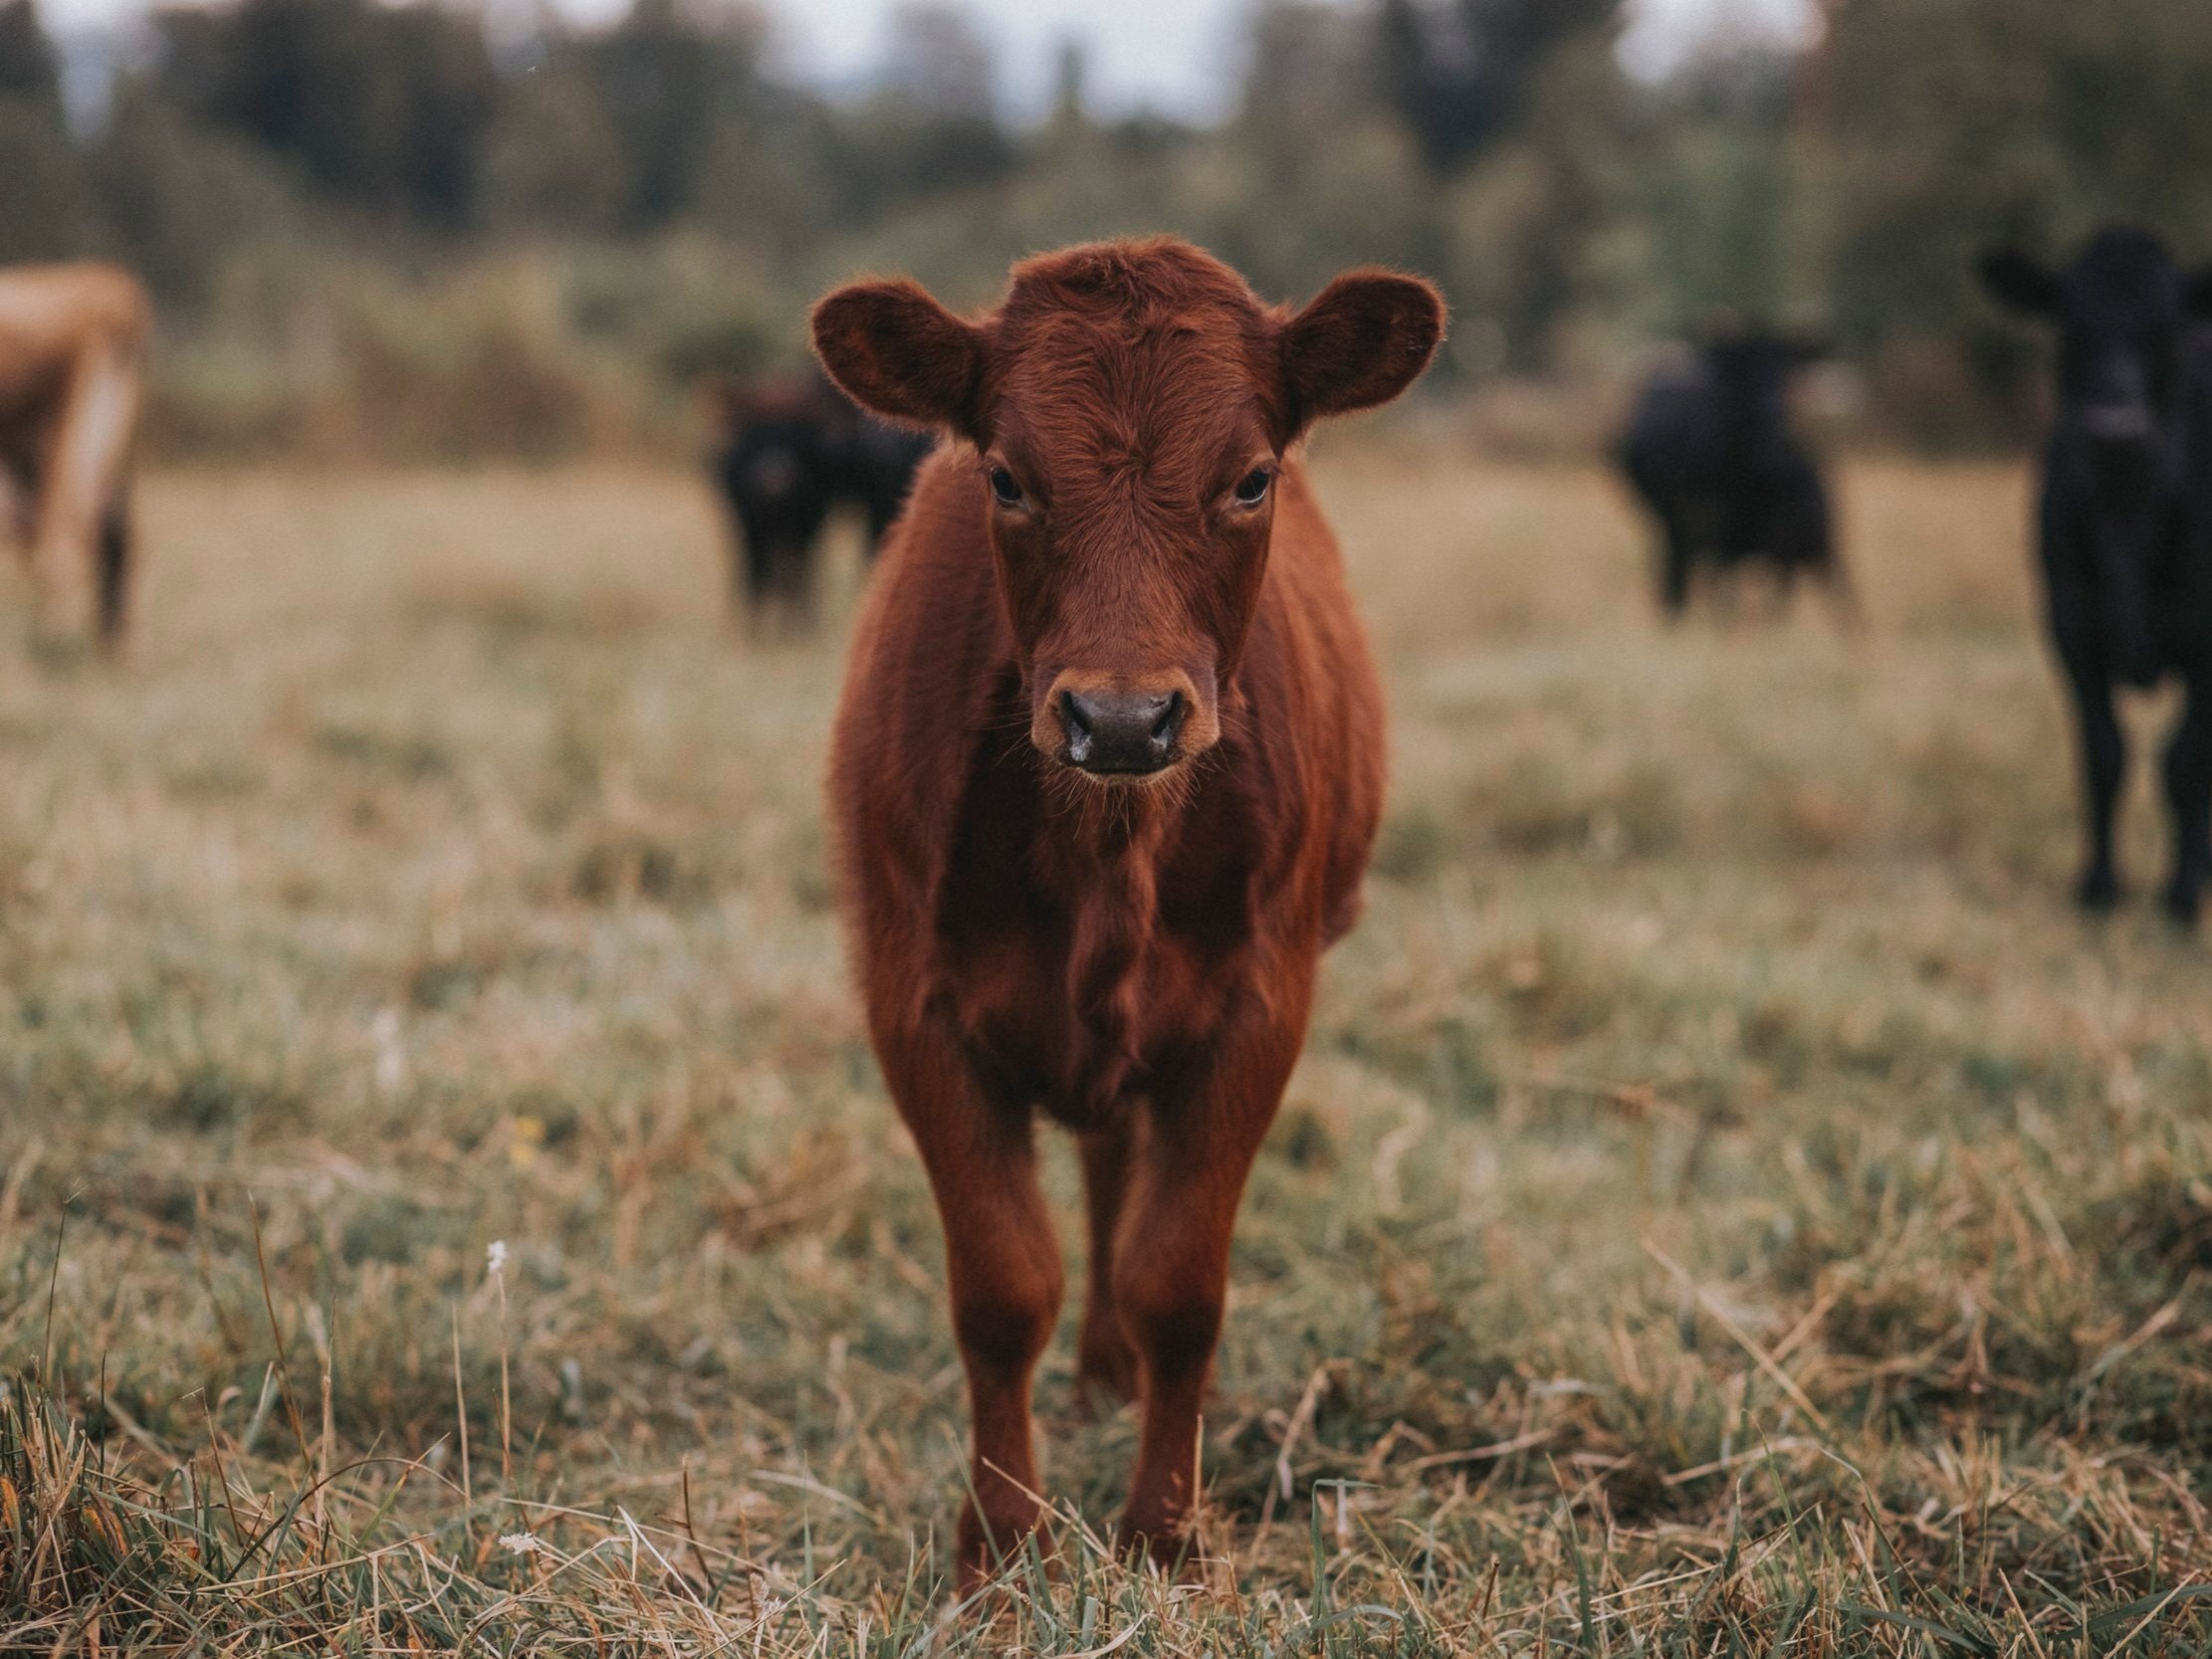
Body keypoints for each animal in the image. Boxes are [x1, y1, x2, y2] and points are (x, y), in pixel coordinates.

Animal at [708, 372, 931, 620]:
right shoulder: (748, 523)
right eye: (750, 435)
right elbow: (757, 574)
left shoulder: (813, 519)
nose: (775, 477)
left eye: (797, 435)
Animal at [811, 237, 1442, 1585]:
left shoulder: (1260, 1006)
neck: (1106, 846)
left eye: (1250, 477)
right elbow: (1001, 1288)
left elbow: (1178, 1282)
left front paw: (1162, 1534)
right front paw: (999, 1548)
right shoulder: (913, 1005)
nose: (1119, 717)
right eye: (1003, 475)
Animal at [1616, 326, 1848, 620]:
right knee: (1678, 557)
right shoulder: (1718, 528)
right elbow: (1723, 581)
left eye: (1790, 368)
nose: (1775, 410)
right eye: (1743, 369)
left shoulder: (1774, 539)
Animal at [1978, 226, 2212, 923]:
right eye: (2070, 325)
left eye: (2166, 327)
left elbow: (2185, 763)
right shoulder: (2072, 629)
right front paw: (2099, 887)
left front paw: (2182, 894)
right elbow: (2103, 754)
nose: (2114, 429)